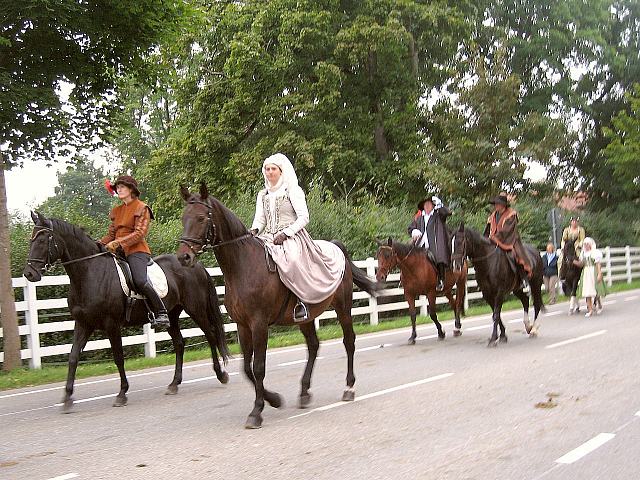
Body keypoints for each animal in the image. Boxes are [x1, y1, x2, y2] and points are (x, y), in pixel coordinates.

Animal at [23, 212, 230, 410]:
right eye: (31, 240)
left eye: (42, 240)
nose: (29, 273)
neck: (89, 273)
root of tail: (194, 264)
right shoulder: (83, 324)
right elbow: (73, 357)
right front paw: (67, 398)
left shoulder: (112, 325)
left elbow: (118, 358)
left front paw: (122, 394)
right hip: (171, 315)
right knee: (179, 343)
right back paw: (174, 384)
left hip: (196, 309)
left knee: (210, 335)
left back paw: (221, 374)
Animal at [175, 183, 380, 428]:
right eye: (183, 217)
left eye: (201, 218)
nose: (183, 257)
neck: (242, 266)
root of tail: (335, 246)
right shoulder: (243, 326)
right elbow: (247, 368)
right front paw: (273, 399)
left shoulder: (259, 324)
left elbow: (258, 367)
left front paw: (257, 411)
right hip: (307, 317)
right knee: (313, 346)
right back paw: (304, 392)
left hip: (343, 307)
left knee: (349, 341)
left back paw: (349, 387)